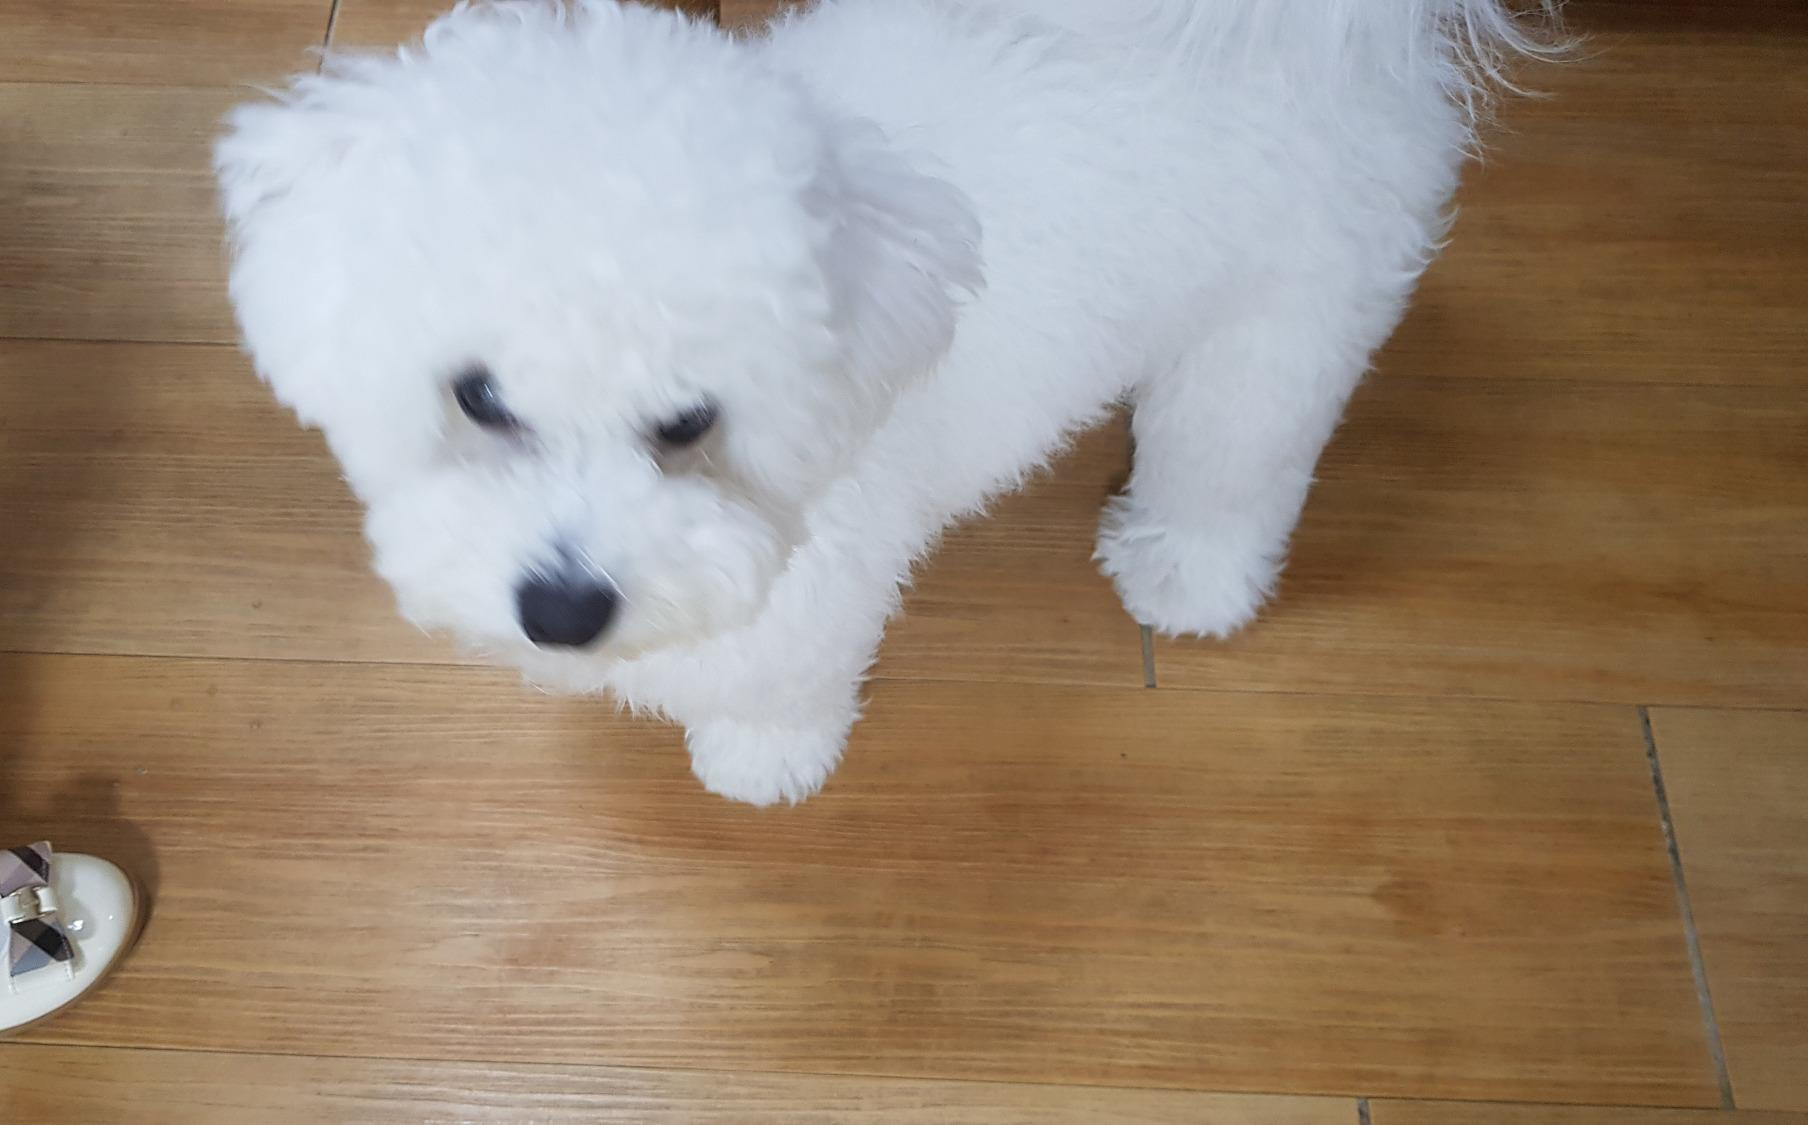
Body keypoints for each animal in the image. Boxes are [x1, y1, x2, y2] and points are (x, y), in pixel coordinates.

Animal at [215, 0, 1551, 804]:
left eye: (691, 422)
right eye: (478, 396)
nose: (559, 609)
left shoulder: (823, 570)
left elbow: (780, 674)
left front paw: (759, 759)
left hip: (1278, 320)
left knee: (1237, 453)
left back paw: (1185, 573)